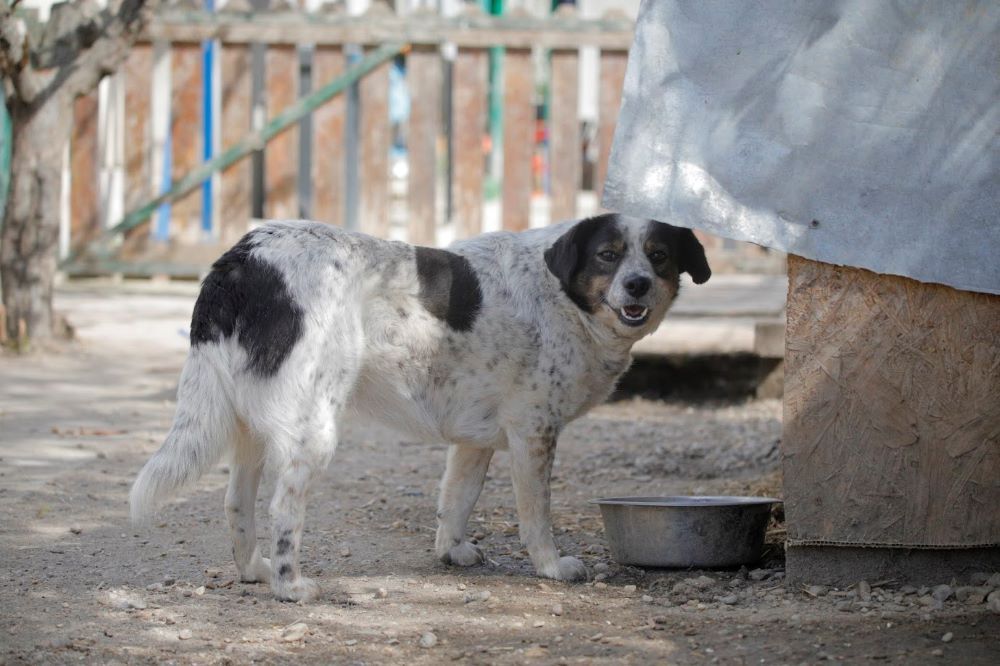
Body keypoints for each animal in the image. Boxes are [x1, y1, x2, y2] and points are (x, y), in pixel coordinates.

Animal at [131, 214, 712, 600]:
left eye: (659, 256)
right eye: (607, 254)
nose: (638, 284)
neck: (561, 295)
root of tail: (243, 257)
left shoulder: (476, 441)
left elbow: (457, 500)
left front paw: (451, 552)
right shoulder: (534, 433)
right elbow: (535, 516)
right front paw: (550, 566)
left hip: (251, 423)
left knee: (236, 501)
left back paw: (255, 570)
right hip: (312, 427)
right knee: (283, 509)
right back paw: (290, 586)